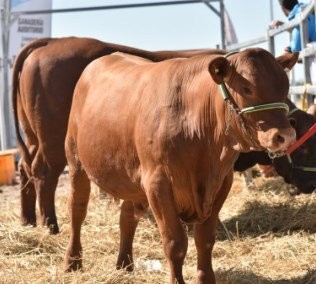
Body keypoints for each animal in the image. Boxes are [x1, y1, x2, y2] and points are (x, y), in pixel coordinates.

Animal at [12, 36, 225, 234]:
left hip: (32, 136)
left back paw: (28, 221)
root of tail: (52, 42)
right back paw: (50, 226)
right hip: (53, 141)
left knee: (25, 166)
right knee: (43, 171)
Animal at [65, 50, 298, 282]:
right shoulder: (157, 184)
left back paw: (125, 264)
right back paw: (73, 262)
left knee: (127, 216)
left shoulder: (222, 182)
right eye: (246, 88)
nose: (285, 136)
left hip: (131, 178)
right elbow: (174, 244)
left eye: (285, 87)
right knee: (77, 209)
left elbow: (205, 240)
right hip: (76, 160)